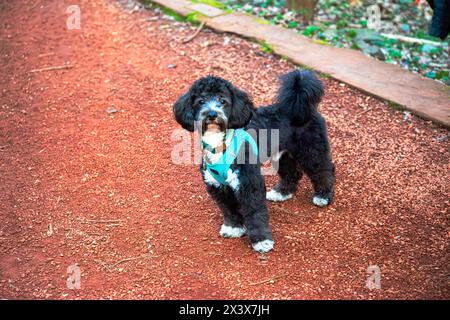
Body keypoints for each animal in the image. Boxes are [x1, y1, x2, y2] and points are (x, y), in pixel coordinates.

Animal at [172, 69, 334, 252]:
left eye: (223, 101)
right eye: (200, 101)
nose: (212, 114)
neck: (219, 144)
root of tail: (299, 105)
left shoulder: (249, 184)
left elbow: (255, 213)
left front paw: (262, 241)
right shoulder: (218, 186)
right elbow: (229, 210)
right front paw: (234, 228)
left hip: (312, 151)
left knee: (323, 170)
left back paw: (324, 196)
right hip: (282, 155)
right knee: (292, 173)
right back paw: (281, 193)